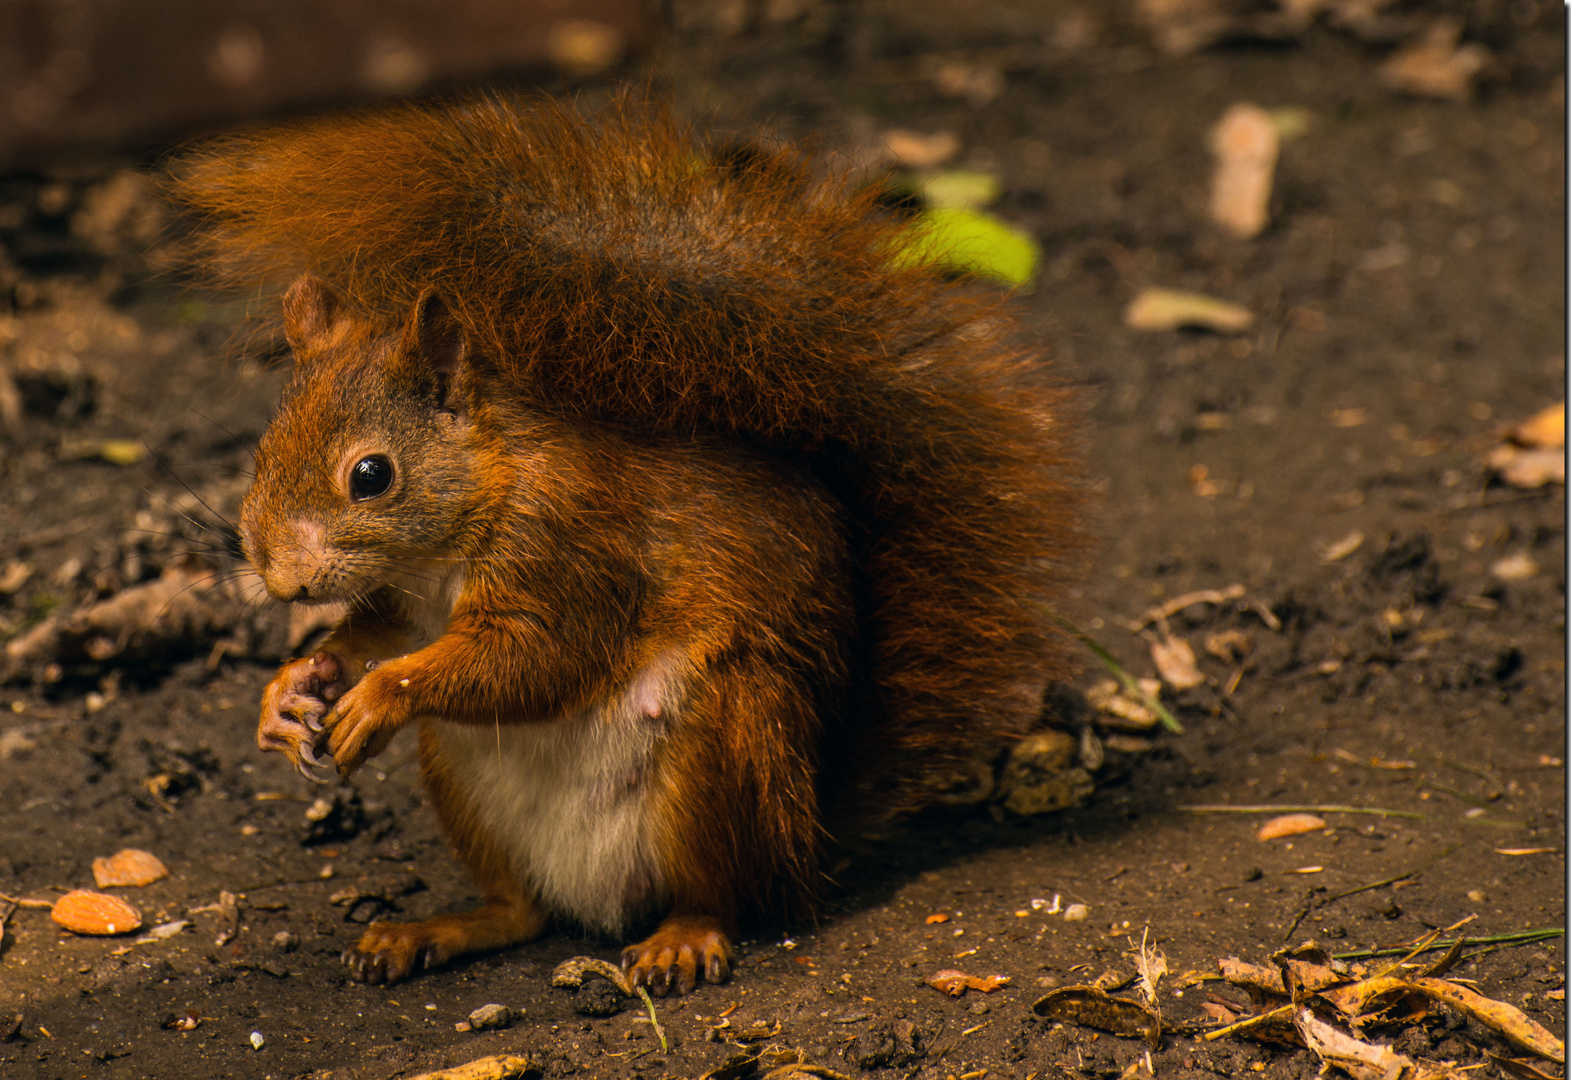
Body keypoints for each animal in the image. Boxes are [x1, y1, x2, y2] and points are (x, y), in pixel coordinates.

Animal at [168, 92, 1080, 999]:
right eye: (262, 449)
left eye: (371, 475)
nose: (281, 581)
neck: (457, 531)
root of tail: (808, 837)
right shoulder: (404, 602)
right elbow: (369, 636)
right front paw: (290, 689)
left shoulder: (571, 547)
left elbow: (537, 659)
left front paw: (379, 695)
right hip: (462, 777)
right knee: (521, 911)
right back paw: (434, 929)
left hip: (720, 746)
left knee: (722, 893)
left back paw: (681, 937)